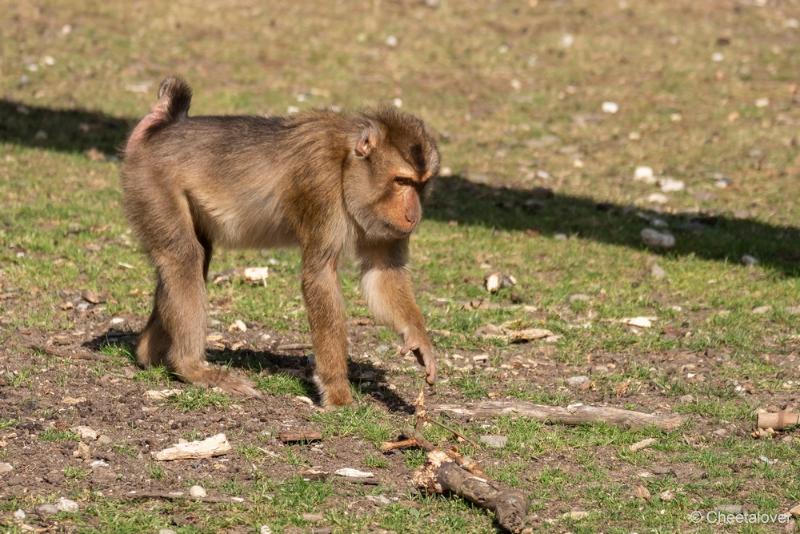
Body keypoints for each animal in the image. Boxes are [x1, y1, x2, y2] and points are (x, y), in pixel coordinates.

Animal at [122, 77, 440, 408]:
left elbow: (382, 274)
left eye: (420, 184)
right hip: (151, 183)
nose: (413, 215)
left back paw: (151, 354)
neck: (346, 166)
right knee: (184, 256)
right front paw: (337, 392)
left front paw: (418, 339)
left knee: (194, 257)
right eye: (401, 181)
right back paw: (191, 367)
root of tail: (159, 130)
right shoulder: (320, 186)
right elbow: (320, 276)